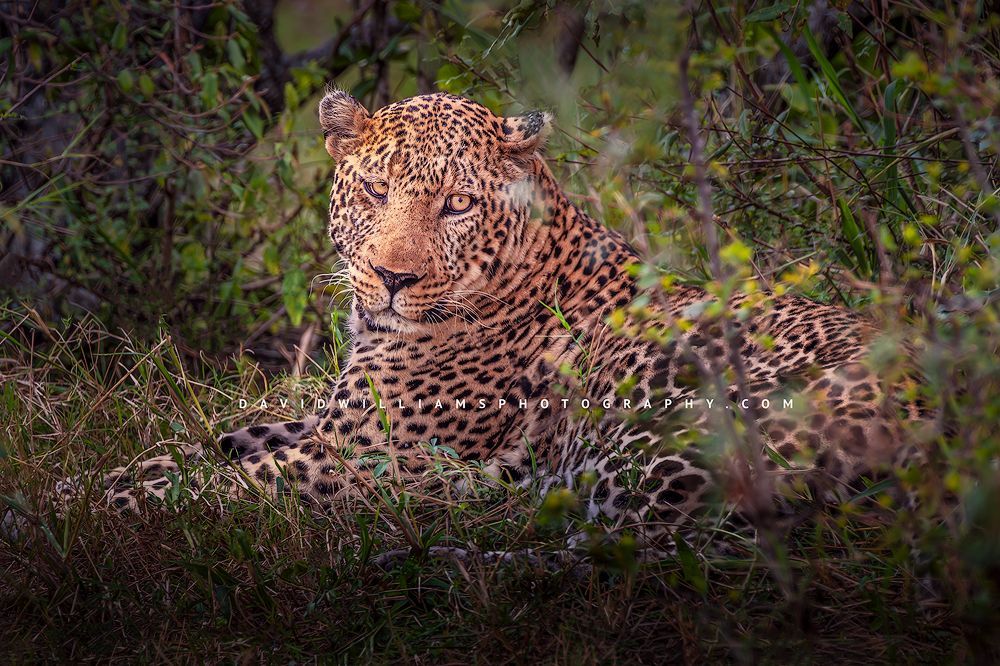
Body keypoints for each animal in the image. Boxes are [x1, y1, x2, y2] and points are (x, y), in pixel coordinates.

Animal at [72, 90, 922, 549]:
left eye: (457, 203)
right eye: (376, 191)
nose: (393, 278)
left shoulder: (362, 459)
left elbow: (215, 487)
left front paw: (91, 504)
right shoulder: (333, 424)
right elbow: (213, 442)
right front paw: (97, 476)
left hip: (654, 447)